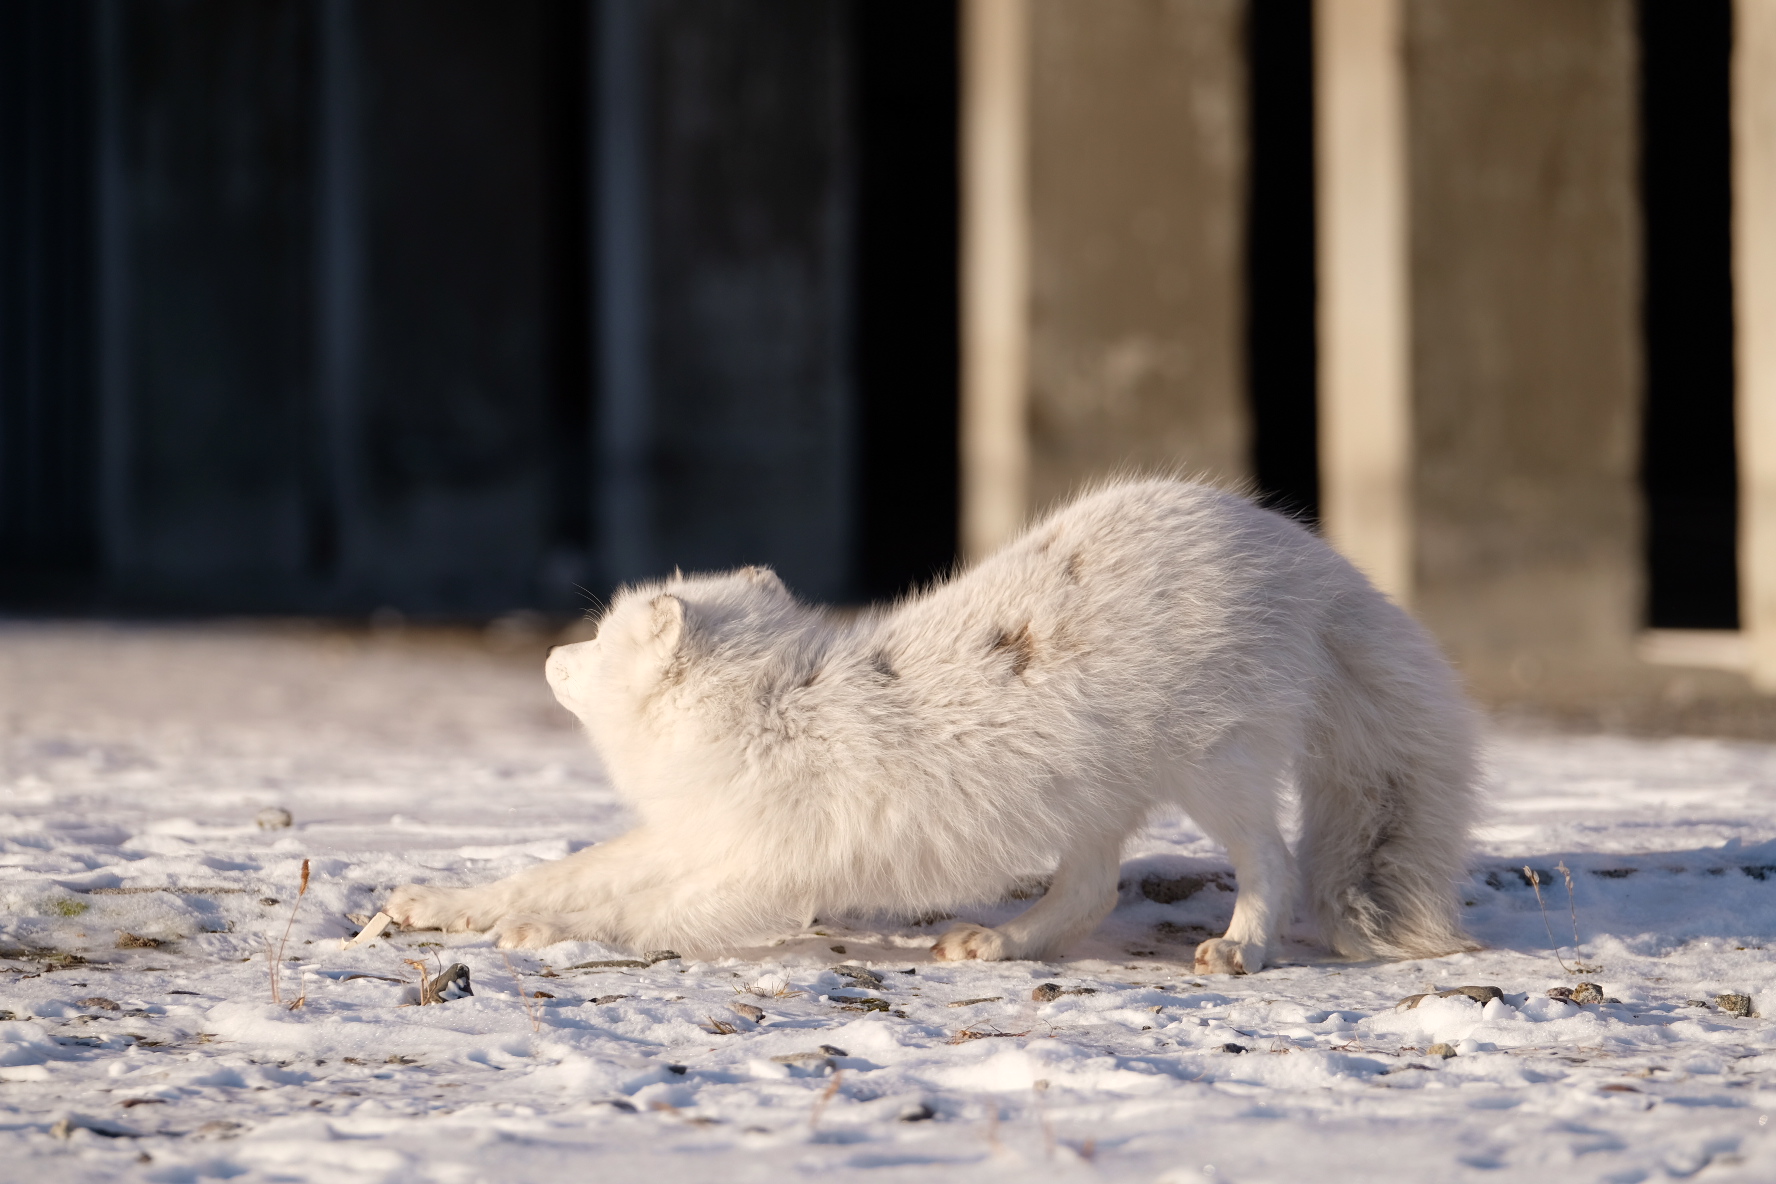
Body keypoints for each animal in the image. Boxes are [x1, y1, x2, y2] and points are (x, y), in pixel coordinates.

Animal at [388, 475, 1484, 979]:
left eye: (600, 636)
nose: (548, 657)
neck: (770, 710)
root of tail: (1298, 552)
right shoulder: (696, 833)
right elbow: (573, 871)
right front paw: (446, 903)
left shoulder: (767, 868)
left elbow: (643, 910)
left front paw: (548, 933)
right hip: (1091, 797)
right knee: (1086, 892)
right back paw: (998, 943)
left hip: (1215, 767)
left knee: (1271, 860)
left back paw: (1241, 948)